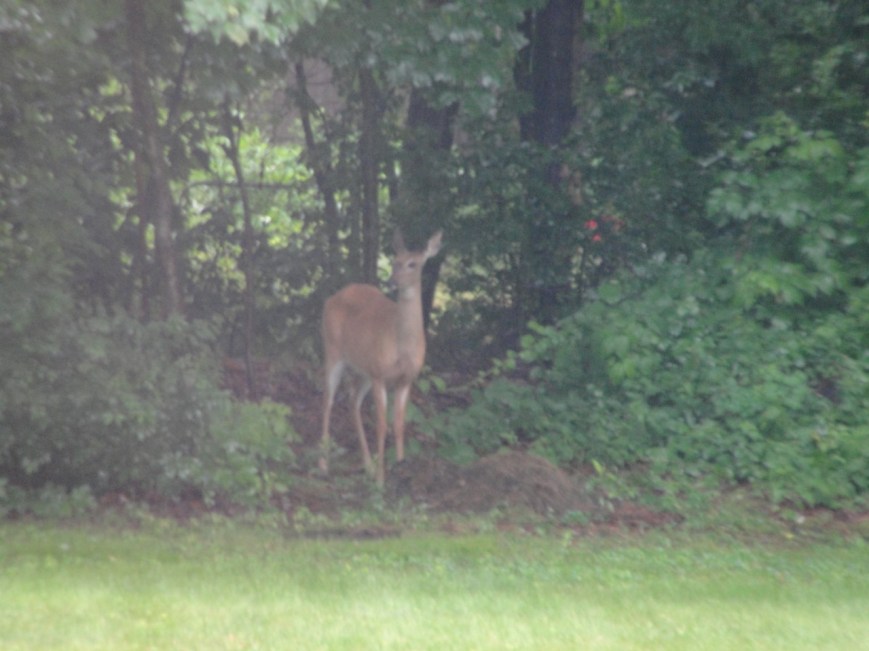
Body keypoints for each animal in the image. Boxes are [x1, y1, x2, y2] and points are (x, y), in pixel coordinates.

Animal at [320, 230, 443, 486]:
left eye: (413, 263)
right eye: (395, 262)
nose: (392, 282)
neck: (402, 346)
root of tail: (332, 297)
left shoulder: (405, 379)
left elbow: (399, 423)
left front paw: (401, 466)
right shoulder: (380, 375)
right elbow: (382, 425)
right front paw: (380, 479)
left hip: (364, 369)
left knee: (352, 402)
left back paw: (367, 465)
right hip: (333, 351)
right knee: (327, 400)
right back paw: (324, 466)